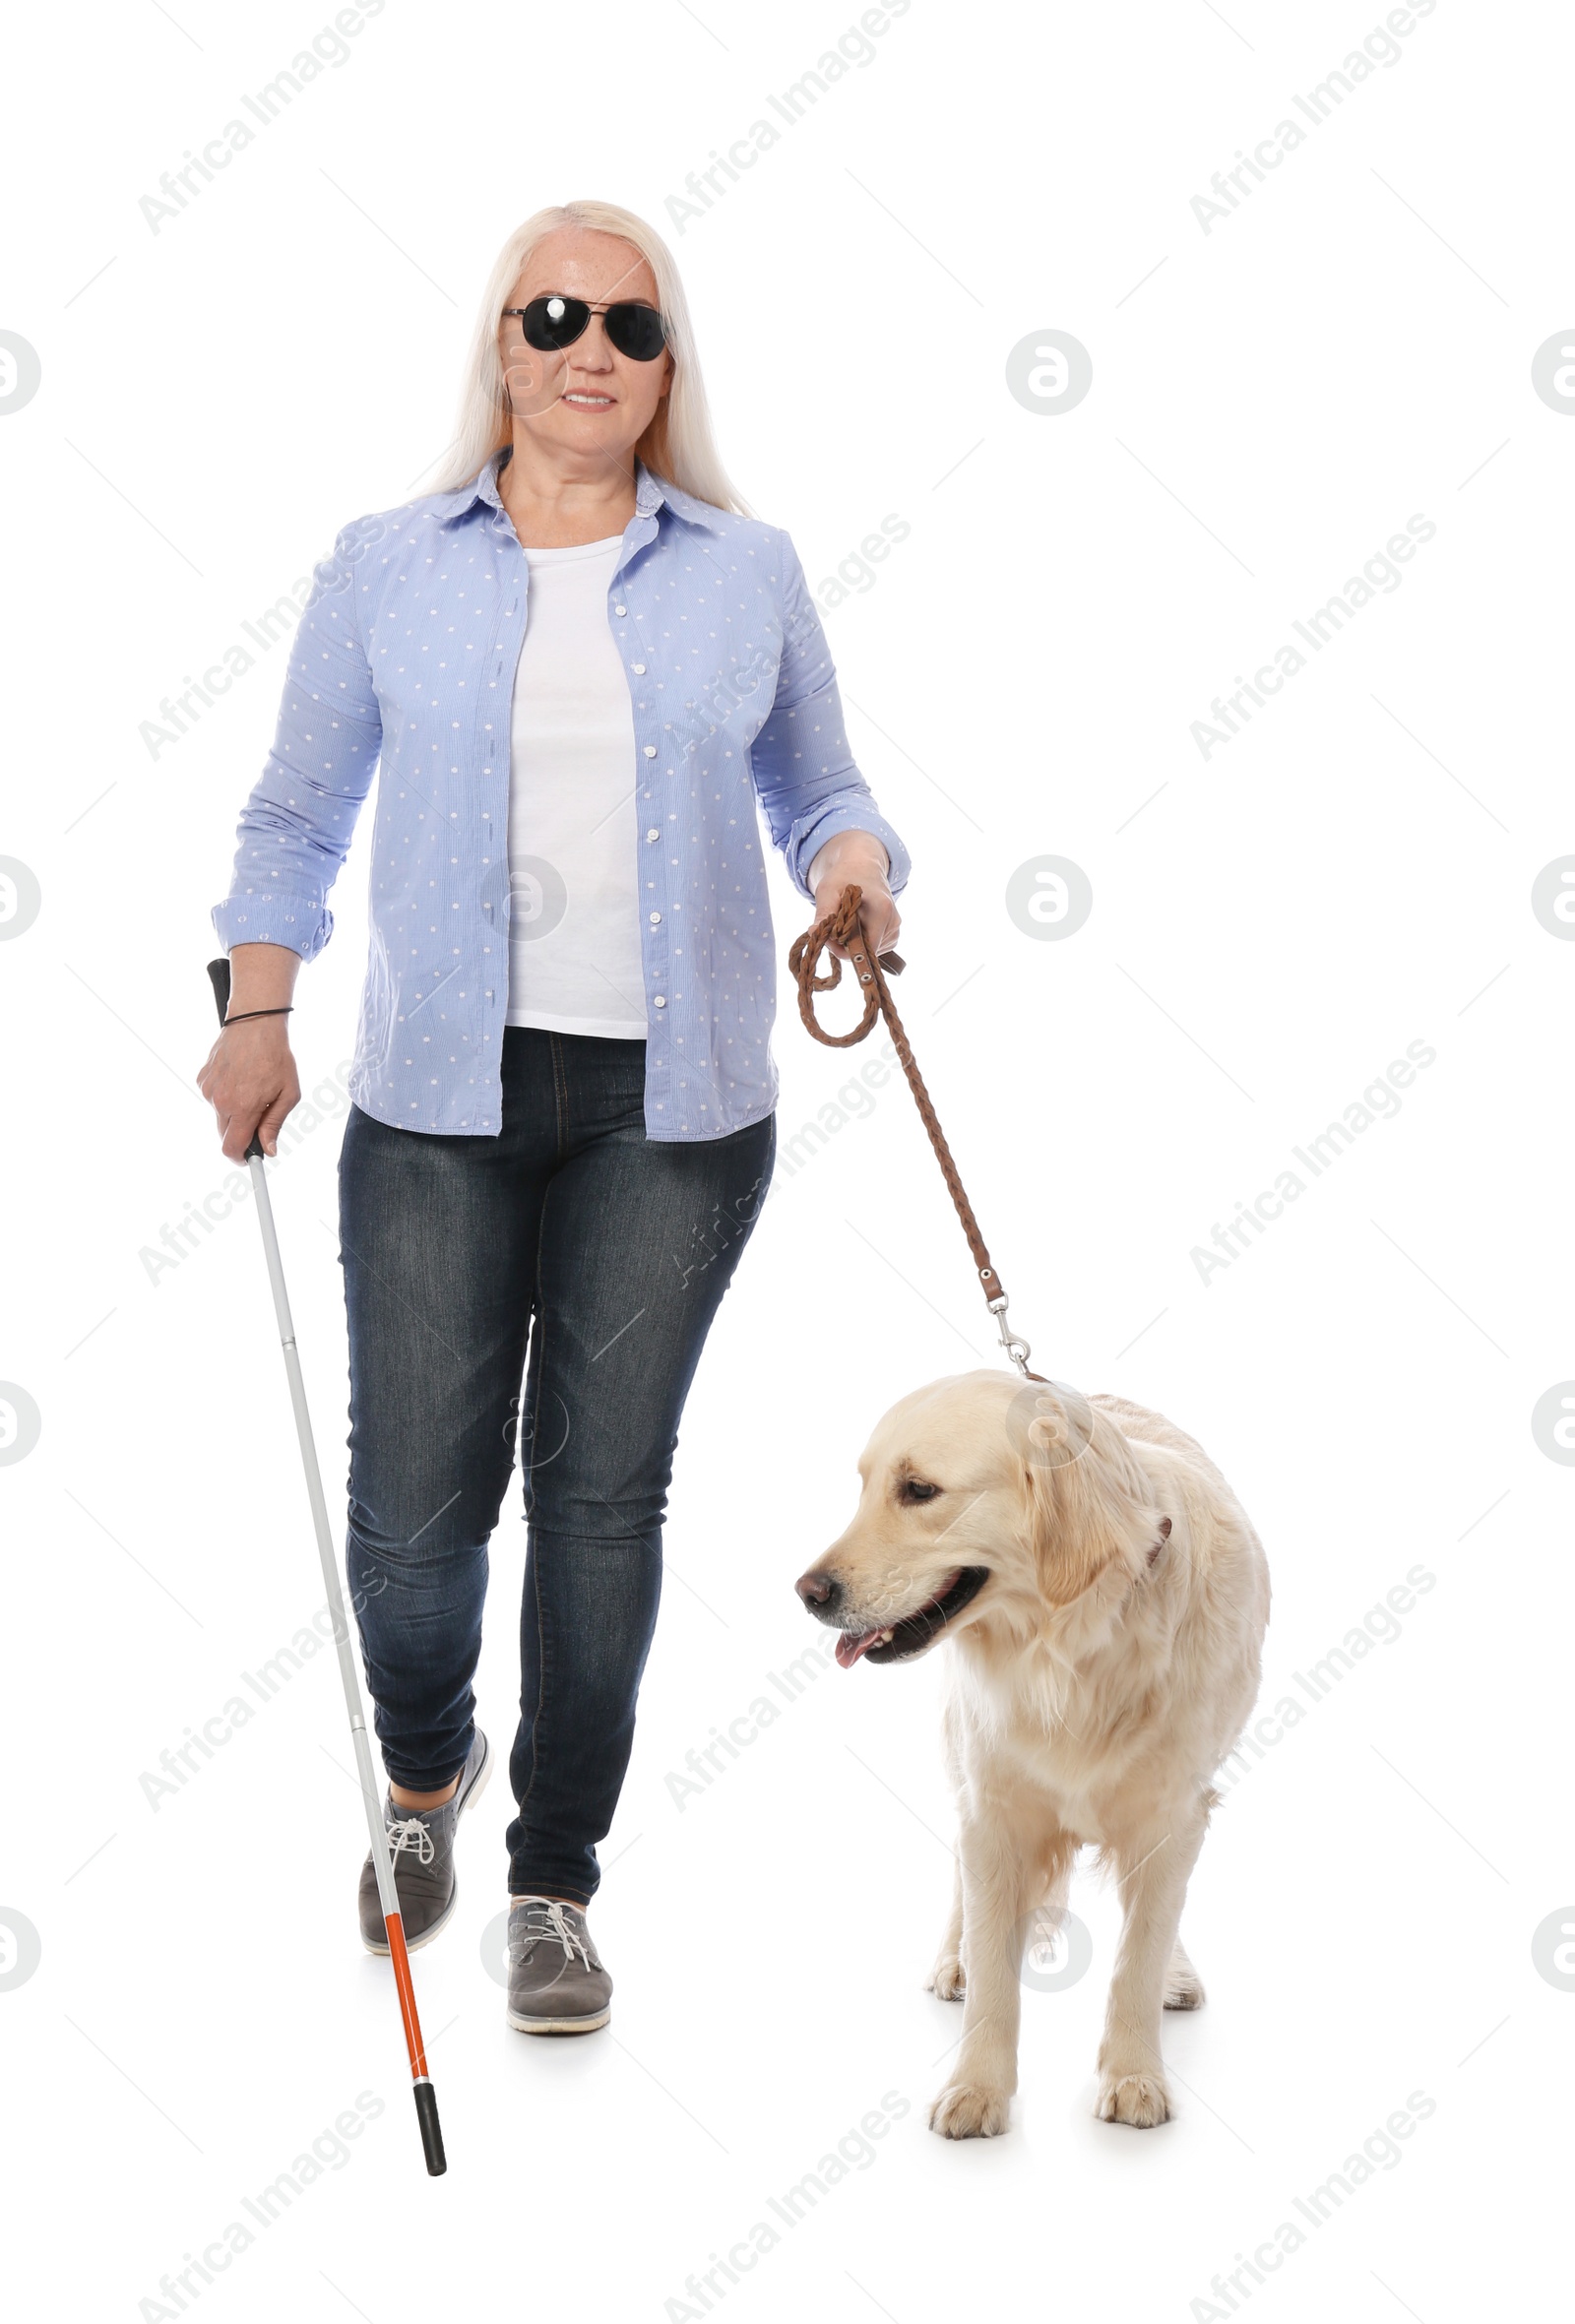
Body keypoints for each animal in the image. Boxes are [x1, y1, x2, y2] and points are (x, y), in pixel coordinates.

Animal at [803, 1356, 1273, 2138]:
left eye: (919, 1490)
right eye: (863, 1485)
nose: (807, 1592)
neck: (1065, 1648)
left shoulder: (1175, 1812)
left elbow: (1140, 1951)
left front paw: (1135, 2074)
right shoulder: (993, 1810)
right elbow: (995, 1962)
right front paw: (977, 2088)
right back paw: (955, 1959)